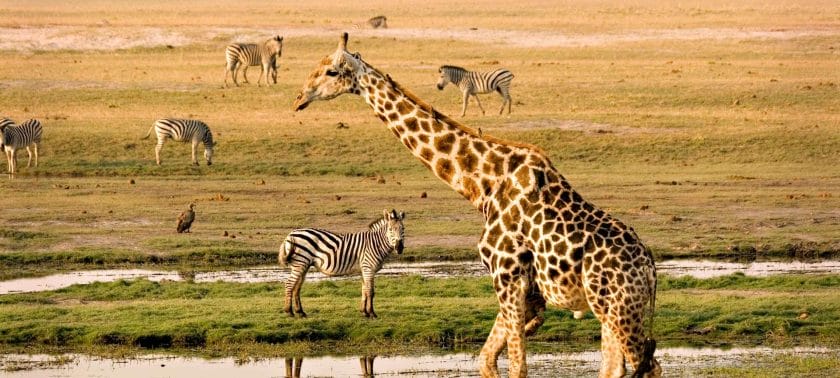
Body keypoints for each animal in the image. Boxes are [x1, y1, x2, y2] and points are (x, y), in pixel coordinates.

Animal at [278, 208, 406, 318]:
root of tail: (291, 234)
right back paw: (289, 311)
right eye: (390, 229)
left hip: (303, 264)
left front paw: (364, 312)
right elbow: (370, 292)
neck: (376, 243)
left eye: (403, 229)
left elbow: (364, 291)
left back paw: (300, 312)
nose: (399, 248)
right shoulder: (368, 268)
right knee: (289, 284)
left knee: (297, 287)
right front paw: (372, 313)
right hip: (300, 263)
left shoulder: (364, 270)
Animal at [292, 33, 660, 378]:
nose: (299, 98)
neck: (482, 186)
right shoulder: (519, 289)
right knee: (616, 367)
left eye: (331, 71)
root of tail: (650, 270)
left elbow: (517, 367)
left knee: (648, 366)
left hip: (619, 307)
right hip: (609, 310)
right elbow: (486, 359)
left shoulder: (508, 276)